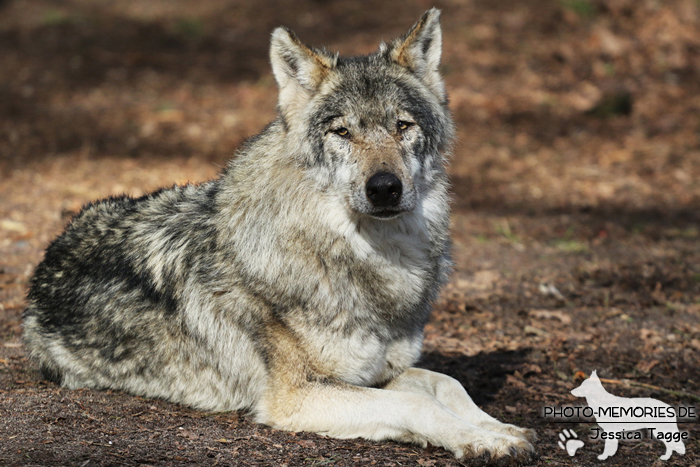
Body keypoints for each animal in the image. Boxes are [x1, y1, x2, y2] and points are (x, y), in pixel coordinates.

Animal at [21, 10, 536, 464]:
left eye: (402, 126)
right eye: (342, 132)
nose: (385, 188)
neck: (375, 261)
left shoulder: (375, 373)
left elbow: (445, 382)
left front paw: (498, 428)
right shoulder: (298, 395)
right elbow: (418, 403)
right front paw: (479, 440)